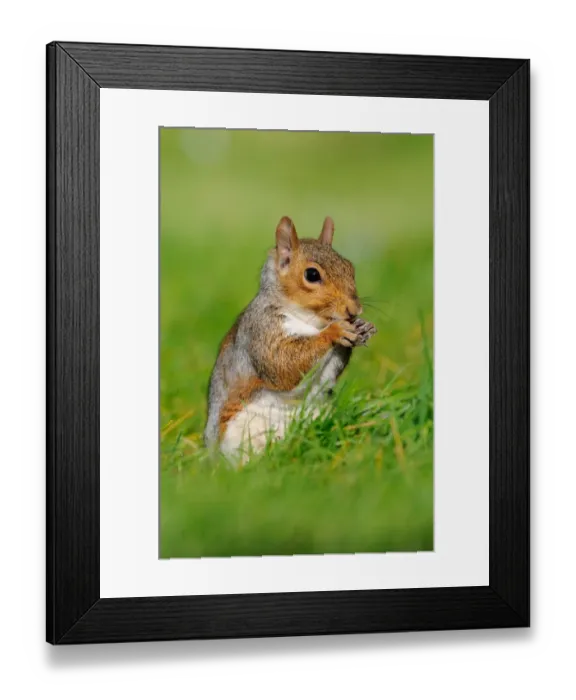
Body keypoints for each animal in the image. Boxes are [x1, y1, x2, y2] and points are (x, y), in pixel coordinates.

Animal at [204, 216, 377, 461]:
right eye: (312, 275)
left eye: (350, 267)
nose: (354, 310)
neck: (311, 322)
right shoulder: (262, 330)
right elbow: (282, 364)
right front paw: (335, 331)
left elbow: (326, 375)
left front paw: (363, 327)